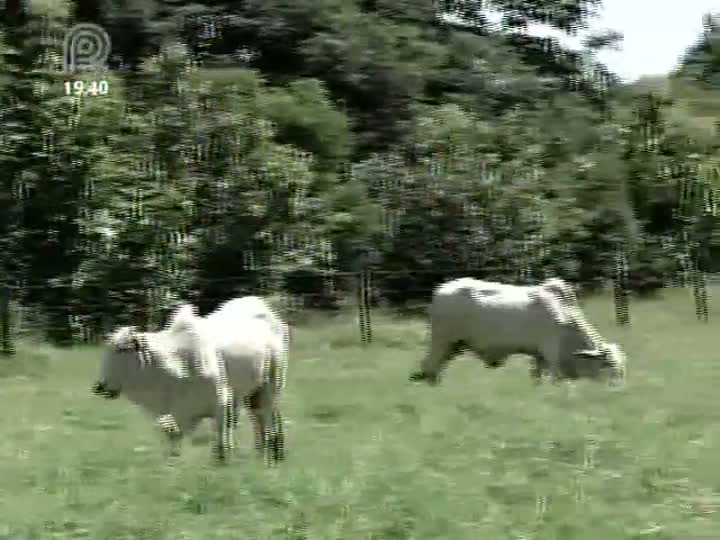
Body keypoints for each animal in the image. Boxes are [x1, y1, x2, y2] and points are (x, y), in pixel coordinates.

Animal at [91, 298, 288, 462]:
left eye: (123, 349)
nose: (100, 387)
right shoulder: (178, 415)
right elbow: (174, 443)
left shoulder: (221, 405)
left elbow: (222, 445)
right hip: (251, 394)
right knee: (259, 419)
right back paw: (261, 452)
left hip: (271, 383)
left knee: (269, 415)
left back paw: (275, 452)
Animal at [410, 278, 624, 384]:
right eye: (608, 366)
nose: (618, 389)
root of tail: (440, 290)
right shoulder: (551, 353)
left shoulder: (539, 356)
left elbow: (537, 378)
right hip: (442, 340)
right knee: (430, 366)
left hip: (454, 344)